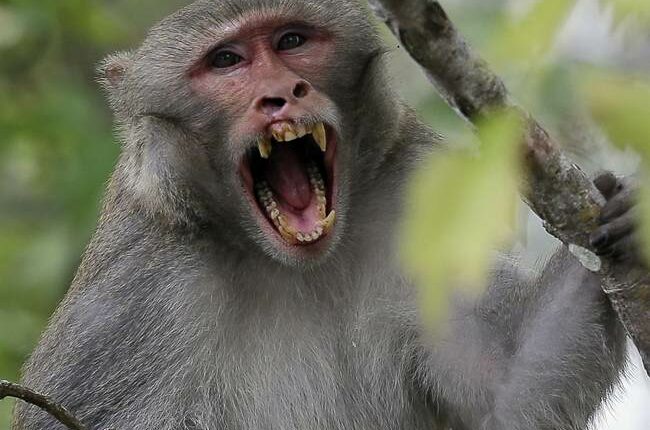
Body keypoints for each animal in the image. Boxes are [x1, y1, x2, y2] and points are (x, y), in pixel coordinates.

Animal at [12, 0, 640, 429]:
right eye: (227, 61)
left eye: (292, 40)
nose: (281, 93)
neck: (292, 263)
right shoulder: (132, 297)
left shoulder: (412, 201)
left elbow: (505, 397)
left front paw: (618, 218)